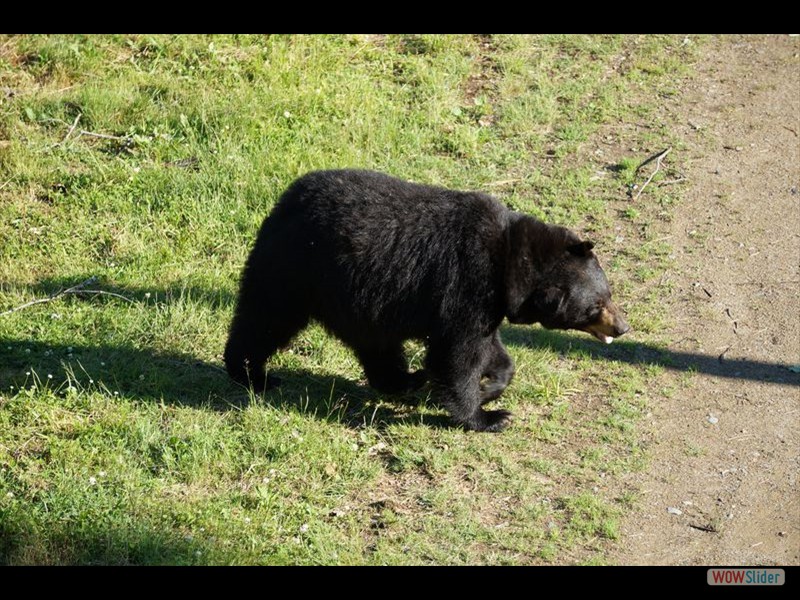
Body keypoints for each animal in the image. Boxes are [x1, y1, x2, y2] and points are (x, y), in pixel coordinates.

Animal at [224, 169, 629, 432]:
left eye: (609, 294)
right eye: (596, 305)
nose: (623, 327)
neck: (511, 262)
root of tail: (285, 200)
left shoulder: (487, 303)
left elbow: (489, 346)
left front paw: (493, 383)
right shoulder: (466, 282)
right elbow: (457, 353)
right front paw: (487, 416)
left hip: (363, 301)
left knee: (378, 347)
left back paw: (406, 380)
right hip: (296, 269)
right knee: (265, 318)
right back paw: (251, 374)